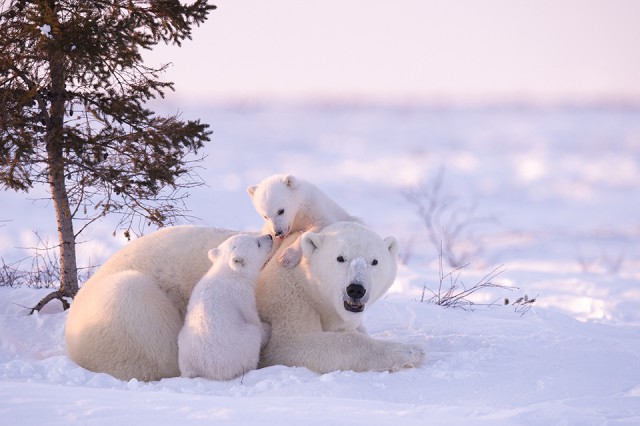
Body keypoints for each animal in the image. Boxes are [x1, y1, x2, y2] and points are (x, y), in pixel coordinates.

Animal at [178, 235, 272, 382]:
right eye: (258, 244)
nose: (270, 236)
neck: (228, 272)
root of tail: (204, 371)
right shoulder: (242, 296)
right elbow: (253, 319)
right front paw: (268, 328)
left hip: (184, 344)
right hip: (240, 346)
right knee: (253, 337)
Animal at [255, 221, 424, 372]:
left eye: (375, 261)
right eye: (340, 258)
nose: (356, 289)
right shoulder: (288, 301)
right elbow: (291, 344)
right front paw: (410, 351)